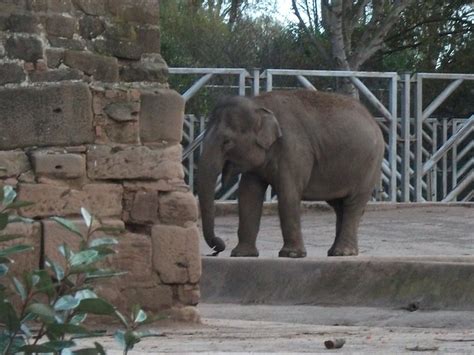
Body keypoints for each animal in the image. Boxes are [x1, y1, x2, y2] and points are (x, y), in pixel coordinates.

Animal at [196, 89, 386, 258]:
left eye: (227, 142)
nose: (218, 247)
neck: (258, 104)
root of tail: (373, 120)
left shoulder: (294, 148)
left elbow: (288, 194)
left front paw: (291, 255)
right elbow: (248, 196)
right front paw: (242, 255)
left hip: (369, 165)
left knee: (353, 204)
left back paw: (343, 253)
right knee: (340, 206)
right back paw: (334, 252)